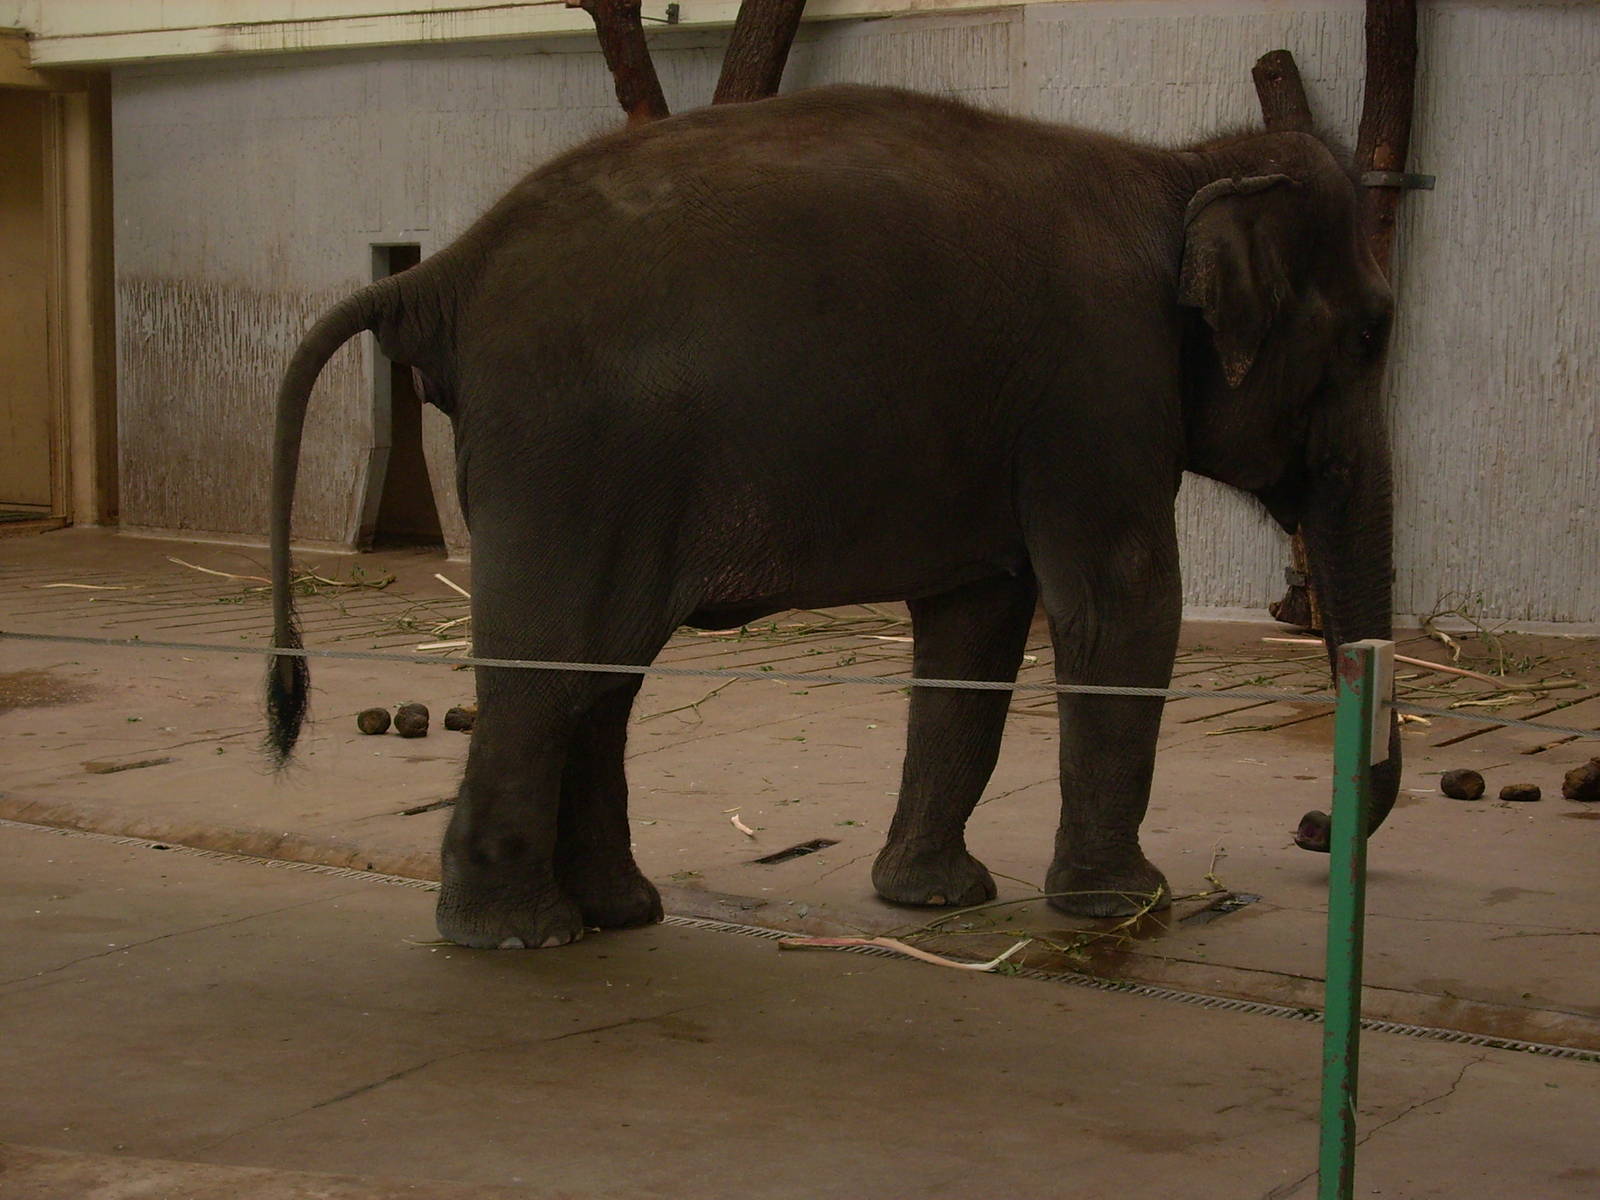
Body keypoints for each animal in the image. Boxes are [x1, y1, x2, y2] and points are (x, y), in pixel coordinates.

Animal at [266, 84, 1401, 950]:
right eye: (1373, 336)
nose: (1310, 826)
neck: (1182, 166)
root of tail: (447, 266)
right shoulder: (1100, 385)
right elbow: (1122, 604)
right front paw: (1131, 907)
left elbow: (976, 626)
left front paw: (933, 899)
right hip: (567, 448)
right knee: (554, 665)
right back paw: (517, 937)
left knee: (600, 672)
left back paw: (617, 914)